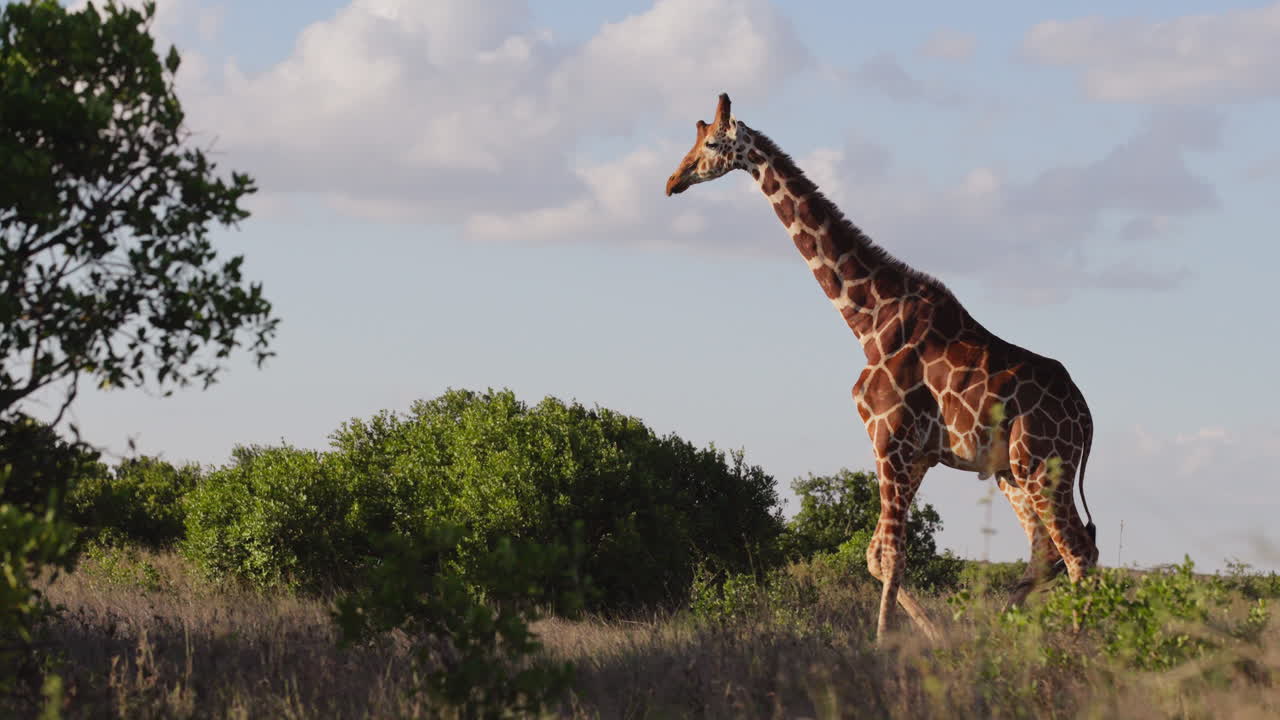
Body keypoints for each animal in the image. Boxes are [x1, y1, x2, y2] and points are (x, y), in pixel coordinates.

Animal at [665, 94, 1099, 643]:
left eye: (711, 145)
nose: (673, 180)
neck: (868, 319)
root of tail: (1085, 415)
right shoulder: (916, 454)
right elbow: (875, 556)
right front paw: (932, 636)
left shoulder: (888, 437)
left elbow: (890, 555)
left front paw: (884, 643)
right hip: (1011, 473)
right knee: (1048, 554)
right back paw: (1003, 631)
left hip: (1044, 465)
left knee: (1077, 552)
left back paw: (1080, 644)